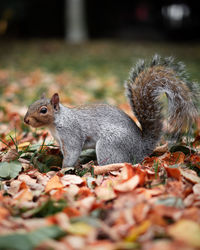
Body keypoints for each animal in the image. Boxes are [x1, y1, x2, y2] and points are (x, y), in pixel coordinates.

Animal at [23, 54, 198, 168]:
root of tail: (140, 149)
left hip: (109, 144)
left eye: (43, 110)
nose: (26, 120)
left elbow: (72, 153)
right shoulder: (61, 141)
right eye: (30, 104)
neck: (57, 121)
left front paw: (62, 171)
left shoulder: (71, 134)